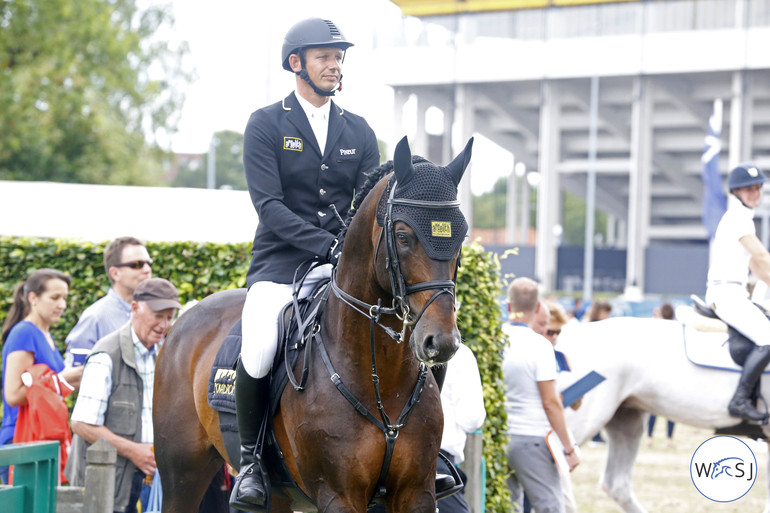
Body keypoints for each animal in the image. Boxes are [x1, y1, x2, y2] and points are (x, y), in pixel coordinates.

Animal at [153, 136, 472, 512]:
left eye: (461, 237)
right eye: (404, 237)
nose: (442, 341)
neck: (381, 376)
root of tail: (184, 319)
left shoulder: (416, 493)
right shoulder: (339, 496)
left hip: (276, 495)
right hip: (182, 474)